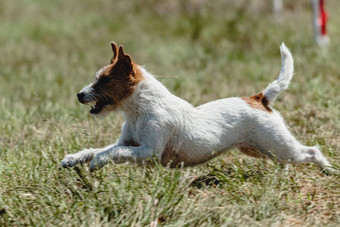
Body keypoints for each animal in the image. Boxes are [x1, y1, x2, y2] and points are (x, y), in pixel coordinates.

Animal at [61, 41, 332, 171]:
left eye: (105, 80)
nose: (79, 95)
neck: (139, 110)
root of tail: (259, 98)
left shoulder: (148, 151)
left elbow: (112, 152)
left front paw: (98, 162)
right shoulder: (128, 143)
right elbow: (97, 149)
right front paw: (73, 159)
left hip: (279, 146)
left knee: (311, 152)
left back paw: (329, 171)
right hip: (261, 149)